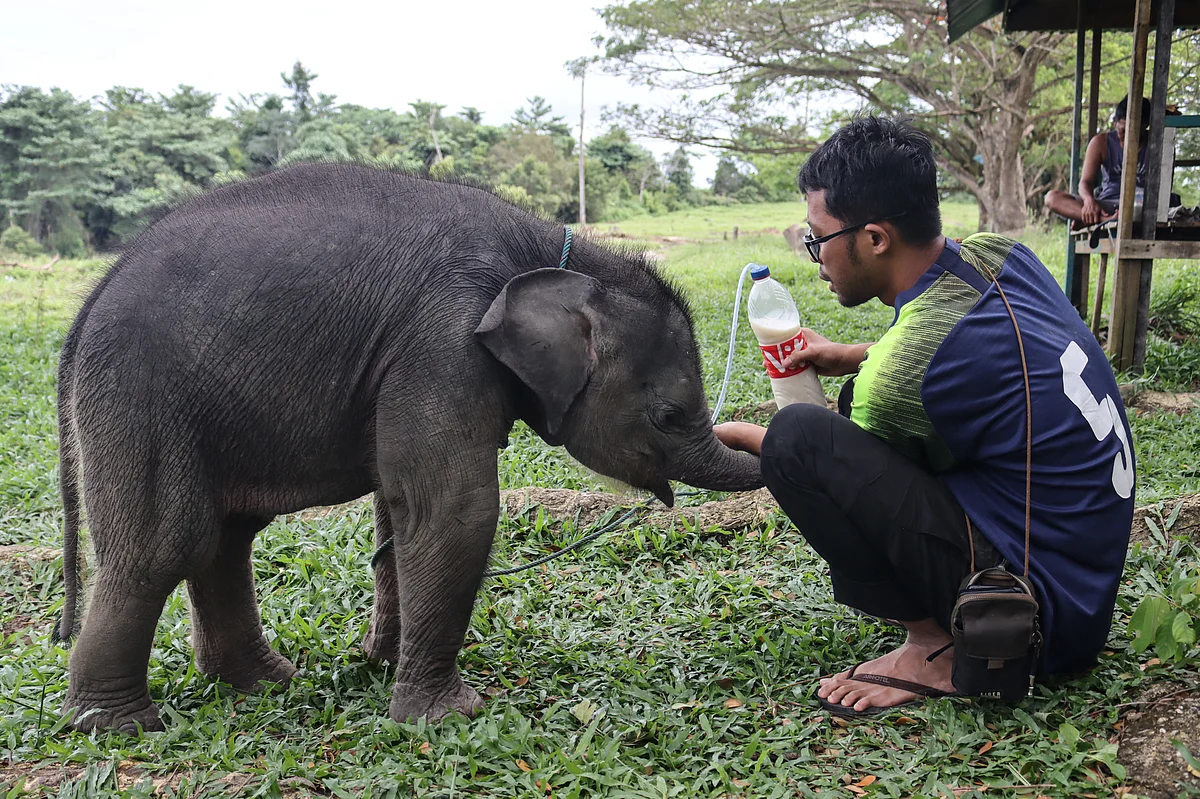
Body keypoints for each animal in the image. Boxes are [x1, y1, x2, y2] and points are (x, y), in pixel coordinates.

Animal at [54, 163, 764, 734]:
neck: (551, 254)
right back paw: (118, 726)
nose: (752, 436)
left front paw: (383, 664)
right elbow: (453, 509)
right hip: (140, 396)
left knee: (225, 537)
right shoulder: (441, 342)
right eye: (669, 416)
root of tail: (90, 299)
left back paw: (265, 682)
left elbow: (400, 510)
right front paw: (449, 717)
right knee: (165, 546)